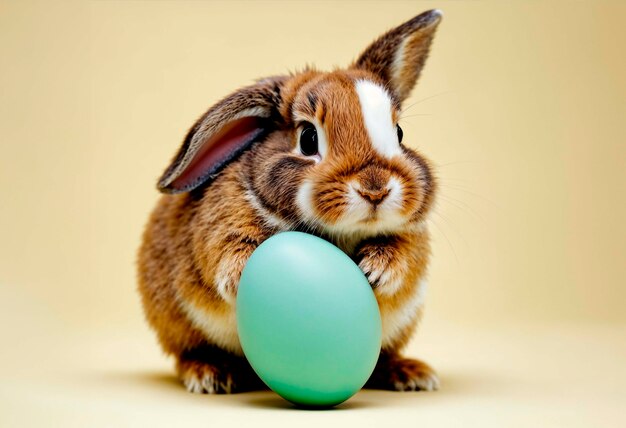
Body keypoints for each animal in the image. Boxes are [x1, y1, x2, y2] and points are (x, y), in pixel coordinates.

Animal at [138, 9, 438, 394]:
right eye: (308, 138)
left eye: (399, 134)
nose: (376, 189)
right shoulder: (222, 224)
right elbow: (226, 251)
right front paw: (242, 276)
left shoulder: (412, 239)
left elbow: (404, 255)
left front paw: (376, 271)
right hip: (178, 326)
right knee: (189, 352)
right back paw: (209, 374)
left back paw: (411, 373)